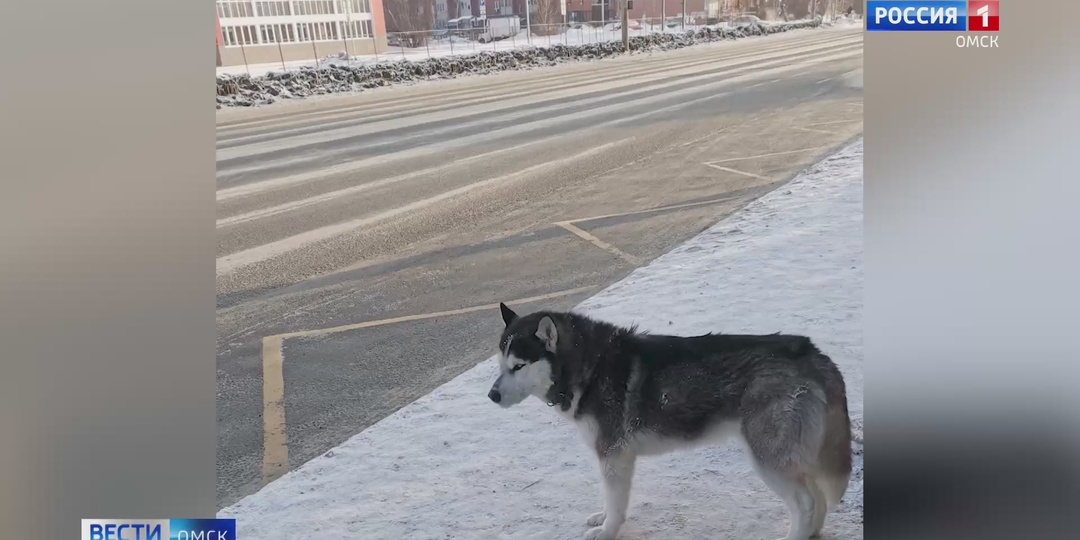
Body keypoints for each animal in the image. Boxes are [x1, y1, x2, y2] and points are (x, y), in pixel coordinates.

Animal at [490, 304, 851, 540]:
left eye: (519, 366)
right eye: (501, 365)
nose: (492, 395)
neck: (588, 366)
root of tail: (811, 352)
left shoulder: (612, 454)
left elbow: (616, 502)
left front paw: (607, 530)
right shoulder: (618, 457)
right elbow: (610, 499)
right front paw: (603, 517)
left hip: (768, 456)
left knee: (806, 502)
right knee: (817, 497)